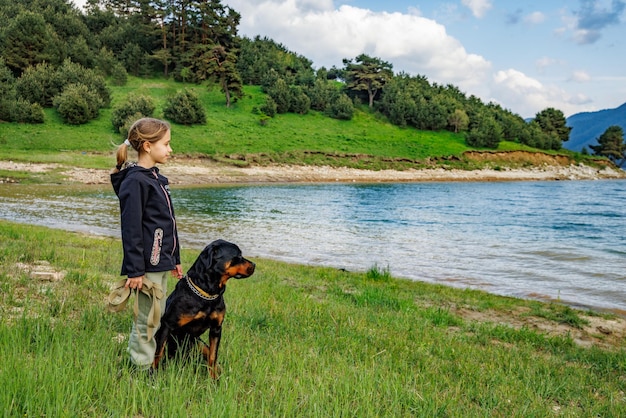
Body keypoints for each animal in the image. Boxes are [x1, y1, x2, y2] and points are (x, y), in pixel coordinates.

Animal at [151, 238, 254, 378]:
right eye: (238, 256)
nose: (254, 265)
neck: (207, 294)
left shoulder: (216, 329)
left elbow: (213, 356)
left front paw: (214, 379)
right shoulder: (168, 325)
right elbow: (158, 352)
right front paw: (152, 375)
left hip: (199, 343)